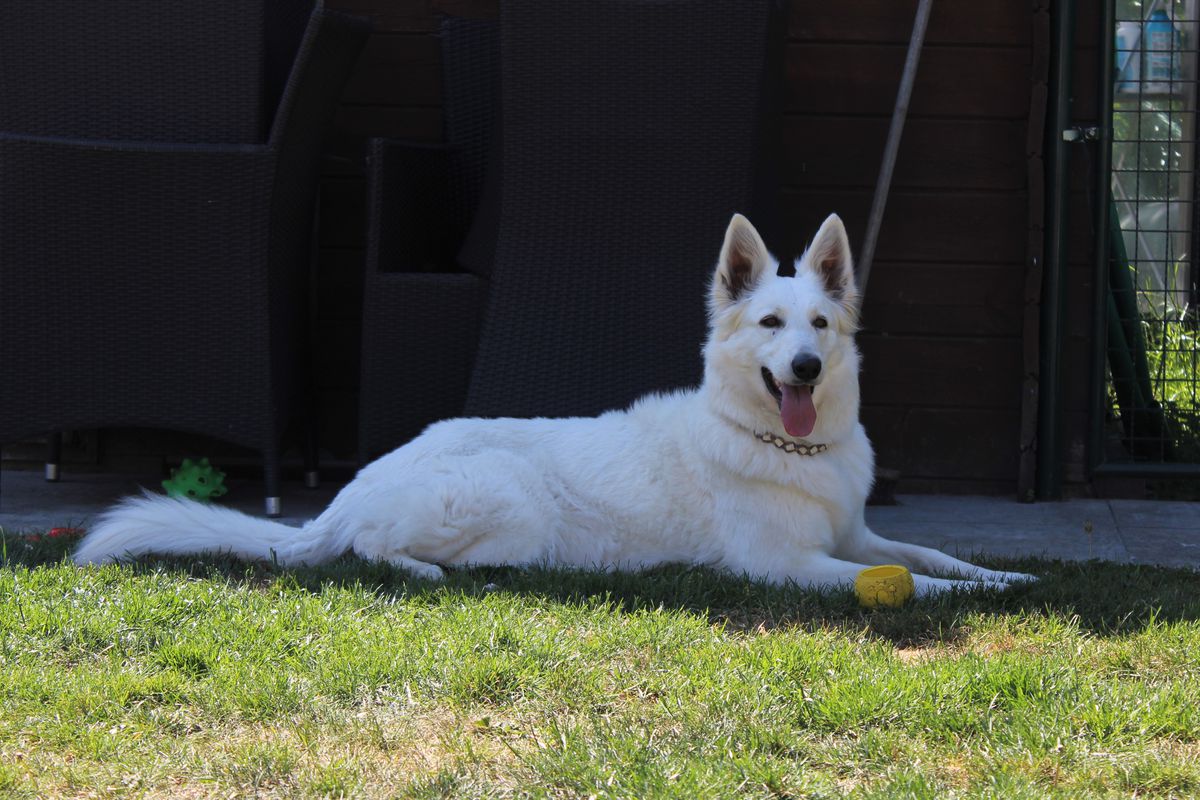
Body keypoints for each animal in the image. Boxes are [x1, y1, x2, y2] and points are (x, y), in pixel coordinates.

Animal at [72, 215, 1032, 597]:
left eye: (820, 327)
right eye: (769, 323)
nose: (801, 366)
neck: (784, 445)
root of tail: (350, 489)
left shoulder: (857, 537)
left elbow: (930, 552)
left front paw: (1010, 581)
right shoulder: (787, 567)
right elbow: (911, 580)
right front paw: (960, 598)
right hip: (513, 508)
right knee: (369, 552)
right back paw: (427, 571)